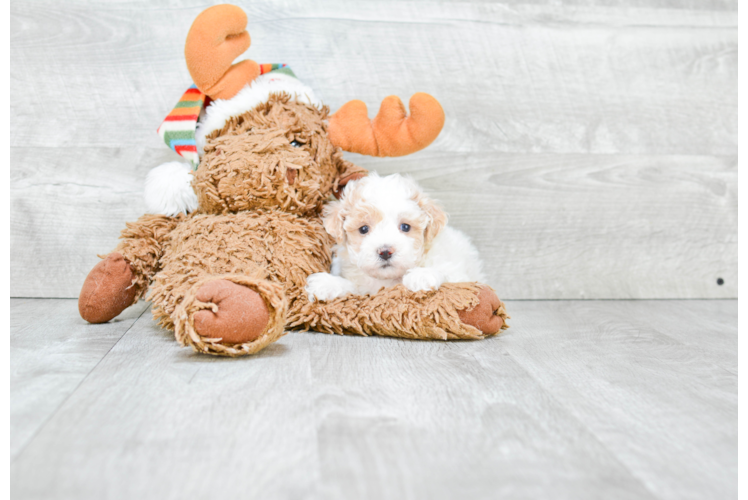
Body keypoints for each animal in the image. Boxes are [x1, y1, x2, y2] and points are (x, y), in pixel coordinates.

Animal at [304, 173, 486, 300]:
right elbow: (353, 287)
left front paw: (421, 275)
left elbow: (448, 275)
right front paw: (327, 283)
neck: (388, 279)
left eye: (405, 227)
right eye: (363, 229)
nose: (385, 252)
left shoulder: (457, 274)